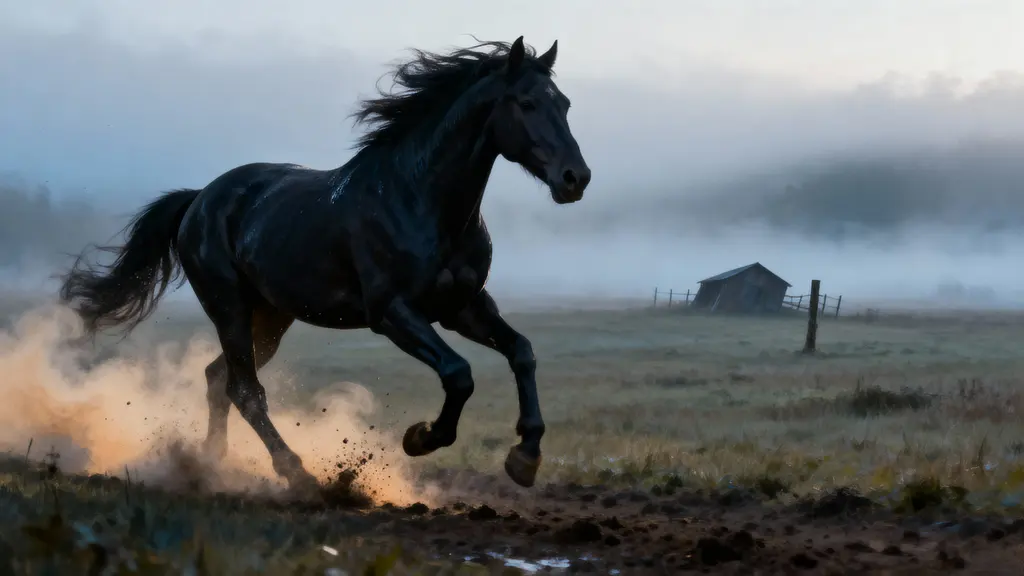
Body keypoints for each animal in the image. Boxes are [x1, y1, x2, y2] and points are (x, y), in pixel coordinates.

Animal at [57, 36, 591, 493]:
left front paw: (525, 457)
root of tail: (199, 199)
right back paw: (297, 475)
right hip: (229, 307)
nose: (575, 178)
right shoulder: (392, 313)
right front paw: (420, 437)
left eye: (564, 104)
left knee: (218, 380)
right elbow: (459, 374)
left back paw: (211, 466)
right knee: (245, 389)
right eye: (526, 103)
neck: (422, 201)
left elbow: (521, 352)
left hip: (271, 317)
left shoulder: (464, 307)